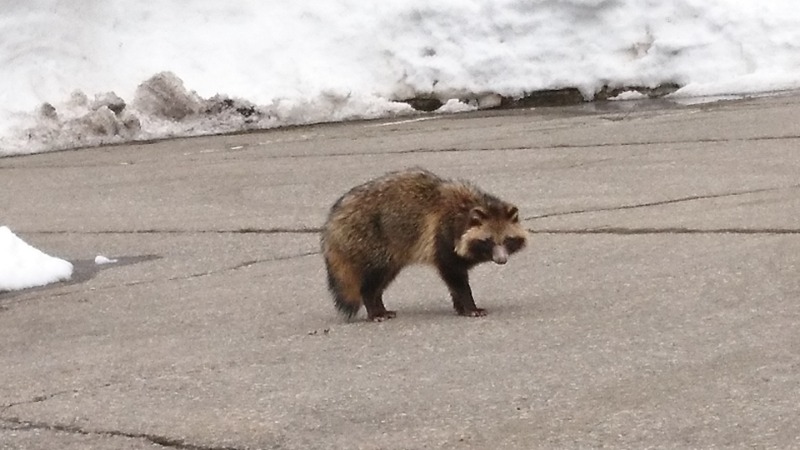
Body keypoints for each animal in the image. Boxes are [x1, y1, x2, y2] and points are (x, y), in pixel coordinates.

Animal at [322, 168, 528, 320]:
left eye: (506, 240)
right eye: (488, 241)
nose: (501, 260)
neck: (467, 209)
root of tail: (332, 221)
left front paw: (460, 306)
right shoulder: (442, 238)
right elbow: (455, 277)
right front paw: (469, 305)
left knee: (383, 278)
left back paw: (379, 304)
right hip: (369, 238)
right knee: (373, 277)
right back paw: (372, 307)